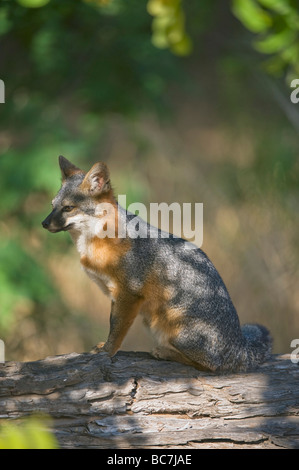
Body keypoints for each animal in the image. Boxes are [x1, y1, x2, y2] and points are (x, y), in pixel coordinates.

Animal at [42, 156, 274, 372]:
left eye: (68, 208)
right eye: (53, 206)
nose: (43, 223)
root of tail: (239, 344)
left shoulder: (129, 294)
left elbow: (117, 329)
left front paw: (107, 352)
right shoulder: (116, 296)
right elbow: (112, 324)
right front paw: (104, 347)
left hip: (175, 328)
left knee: (210, 365)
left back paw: (165, 352)